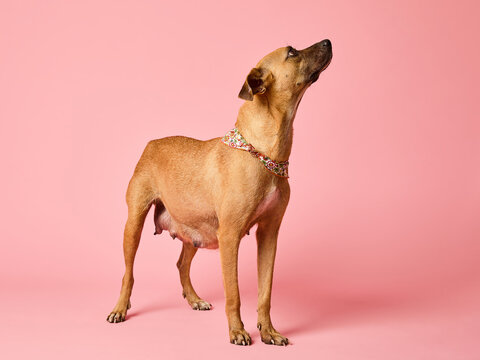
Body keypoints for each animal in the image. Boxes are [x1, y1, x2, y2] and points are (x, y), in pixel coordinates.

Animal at [108, 39, 334, 346]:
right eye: (291, 53)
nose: (328, 41)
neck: (262, 153)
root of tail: (153, 143)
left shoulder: (269, 234)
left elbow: (265, 292)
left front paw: (269, 331)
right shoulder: (229, 237)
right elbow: (234, 292)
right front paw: (237, 331)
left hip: (195, 231)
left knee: (181, 264)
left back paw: (194, 299)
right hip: (134, 225)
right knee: (128, 273)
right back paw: (120, 308)